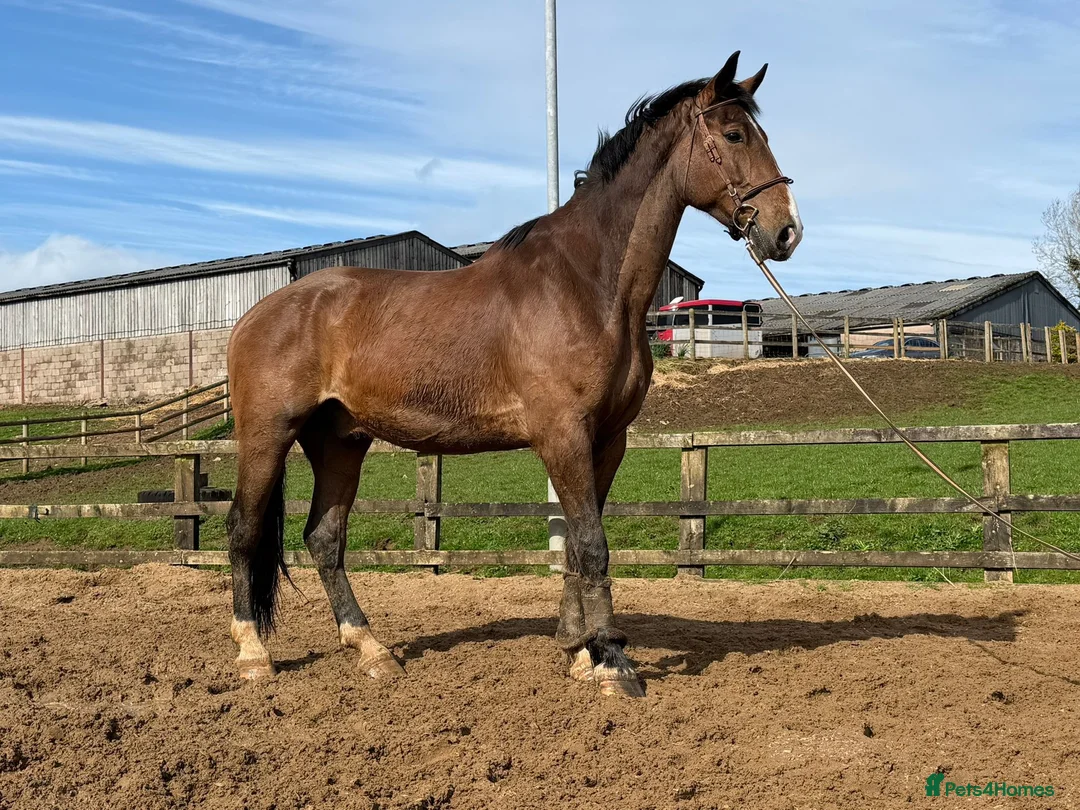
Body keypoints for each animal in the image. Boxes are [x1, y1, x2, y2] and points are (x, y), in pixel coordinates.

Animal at [224, 50, 802, 698]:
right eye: (733, 135)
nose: (786, 230)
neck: (587, 284)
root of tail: (256, 315)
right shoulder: (562, 434)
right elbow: (592, 545)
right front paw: (613, 663)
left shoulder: (607, 439)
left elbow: (577, 544)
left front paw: (579, 650)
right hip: (267, 435)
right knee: (244, 530)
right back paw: (252, 655)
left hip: (340, 441)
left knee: (324, 539)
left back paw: (372, 650)